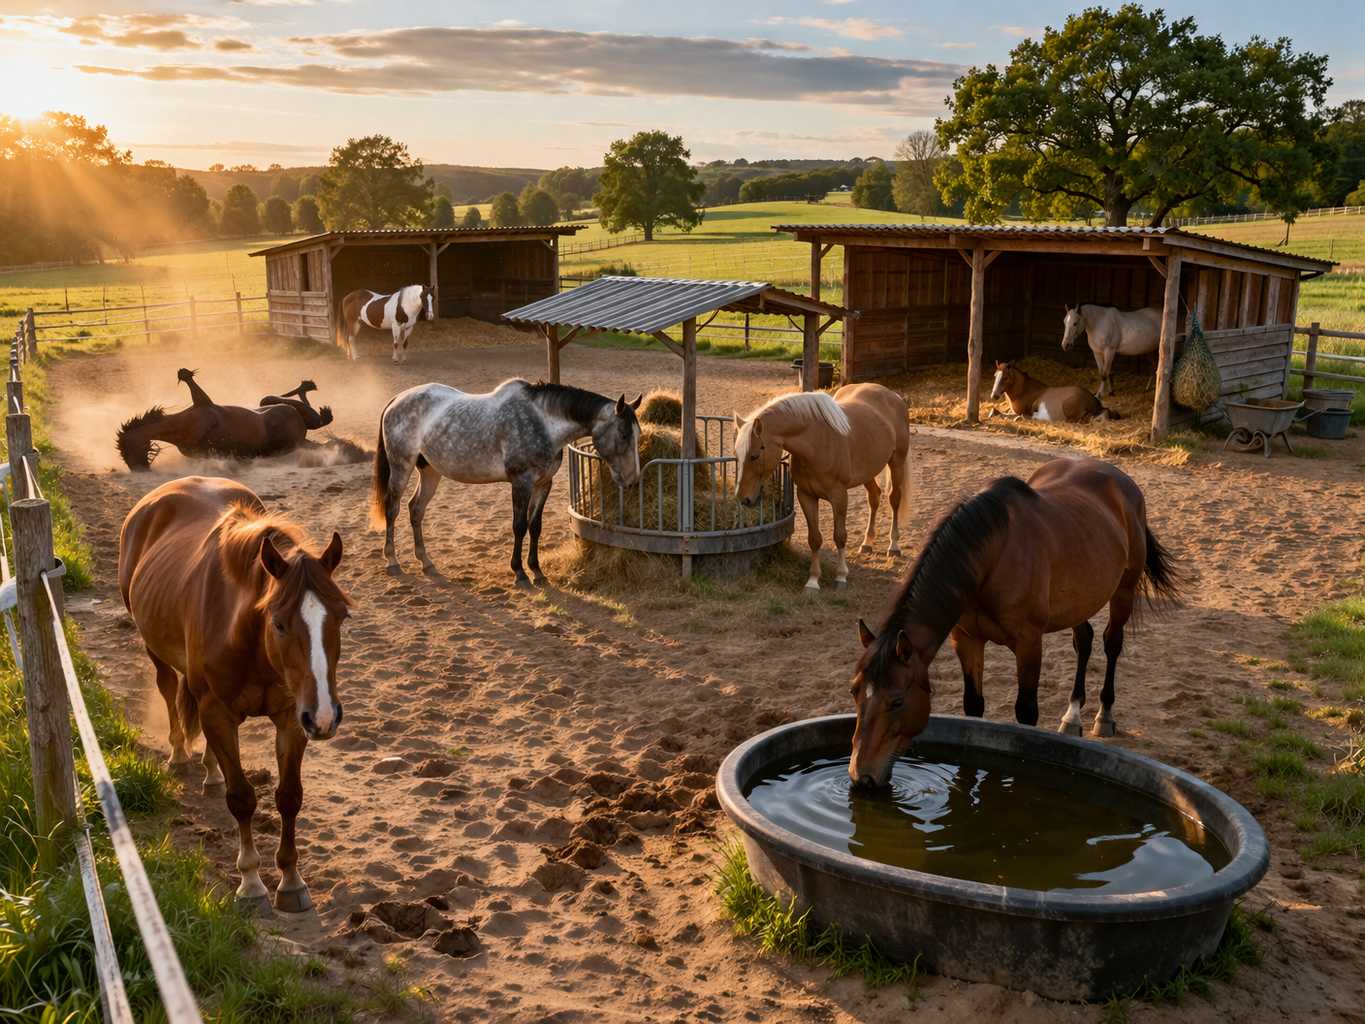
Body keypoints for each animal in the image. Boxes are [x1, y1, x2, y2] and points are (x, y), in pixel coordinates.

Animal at [118, 476, 349, 912]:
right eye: (278, 623)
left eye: (342, 616)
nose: (325, 717)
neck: (248, 641)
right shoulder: (218, 712)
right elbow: (242, 797)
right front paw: (251, 881)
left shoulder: (292, 718)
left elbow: (289, 797)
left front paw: (290, 881)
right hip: (155, 649)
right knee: (169, 689)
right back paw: (180, 754)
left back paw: (211, 770)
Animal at [370, 379, 643, 585]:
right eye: (623, 434)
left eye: (637, 434)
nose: (633, 480)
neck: (543, 423)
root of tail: (397, 399)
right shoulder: (521, 483)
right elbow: (519, 526)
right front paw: (519, 572)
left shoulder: (544, 484)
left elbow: (535, 526)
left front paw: (537, 571)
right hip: (401, 466)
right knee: (392, 508)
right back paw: (392, 561)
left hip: (429, 471)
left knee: (415, 510)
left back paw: (426, 562)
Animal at [733, 385, 911, 592]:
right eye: (736, 455)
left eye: (754, 455)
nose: (743, 498)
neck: (817, 442)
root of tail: (893, 395)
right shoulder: (806, 496)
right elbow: (815, 539)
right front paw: (813, 580)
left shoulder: (839, 496)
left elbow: (840, 536)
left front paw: (841, 576)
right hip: (868, 471)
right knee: (874, 498)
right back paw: (867, 542)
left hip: (896, 463)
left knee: (894, 500)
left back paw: (894, 545)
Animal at [847, 458, 1181, 787]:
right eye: (854, 691)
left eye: (897, 701)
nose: (861, 776)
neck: (991, 555)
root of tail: (1121, 481)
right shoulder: (967, 639)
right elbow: (973, 705)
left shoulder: (1029, 643)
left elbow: (1026, 713)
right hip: (1081, 598)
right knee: (1083, 642)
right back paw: (1072, 716)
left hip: (1123, 591)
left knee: (1112, 644)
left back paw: (1104, 715)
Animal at [989, 361, 1118, 423]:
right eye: (995, 375)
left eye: (1005, 377)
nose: (994, 395)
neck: (1025, 390)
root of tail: (1094, 401)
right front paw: (993, 412)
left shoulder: (1029, 409)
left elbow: (1019, 415)